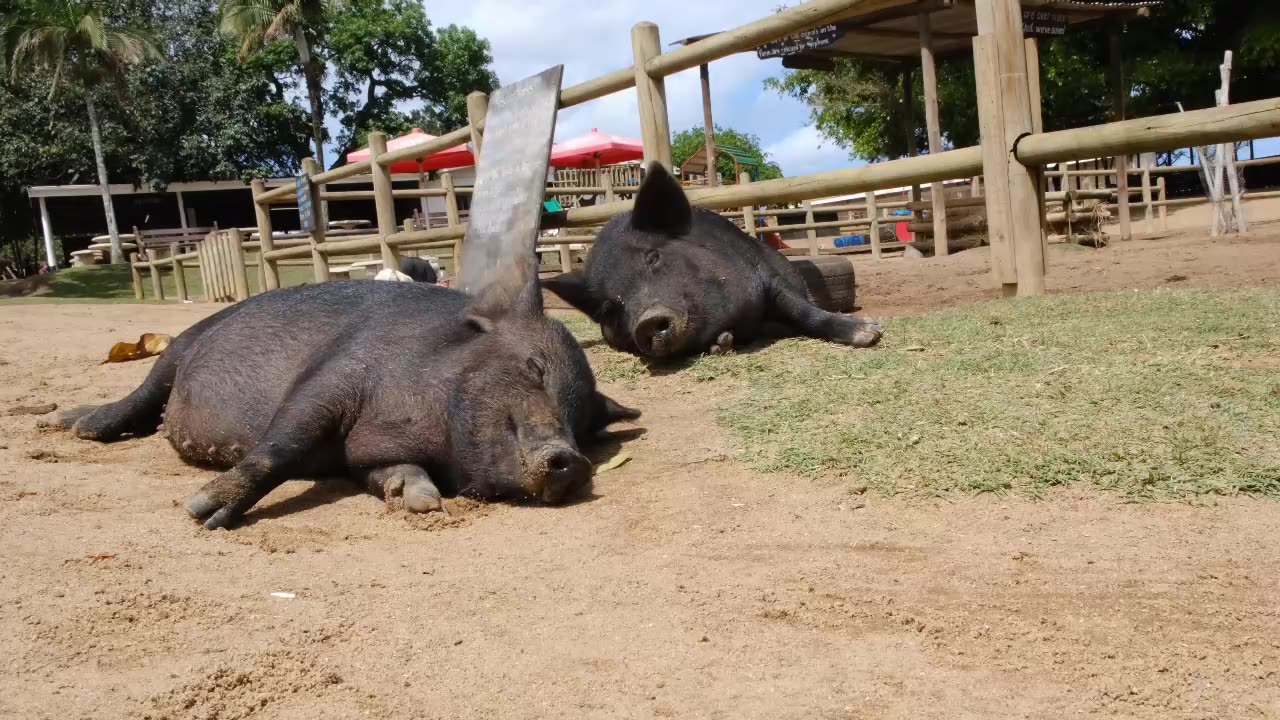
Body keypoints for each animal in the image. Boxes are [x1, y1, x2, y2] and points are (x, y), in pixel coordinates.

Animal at [42, 279, 640, 527]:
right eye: (533, 368)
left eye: (583, 422)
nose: (571, 460)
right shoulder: (335, 374)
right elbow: (282, 442)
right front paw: (202, 512)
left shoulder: (366, 455)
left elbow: (387, 472)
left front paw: (421, 503)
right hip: (183, 344)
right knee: (142, 395)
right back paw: (73, 424)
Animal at [540, 166, 880, 361]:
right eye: (609, 307)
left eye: (653, 257)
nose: (646, 321)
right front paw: (722, 344)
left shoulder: (765, 276)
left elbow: (801, 310)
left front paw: (870, 333)